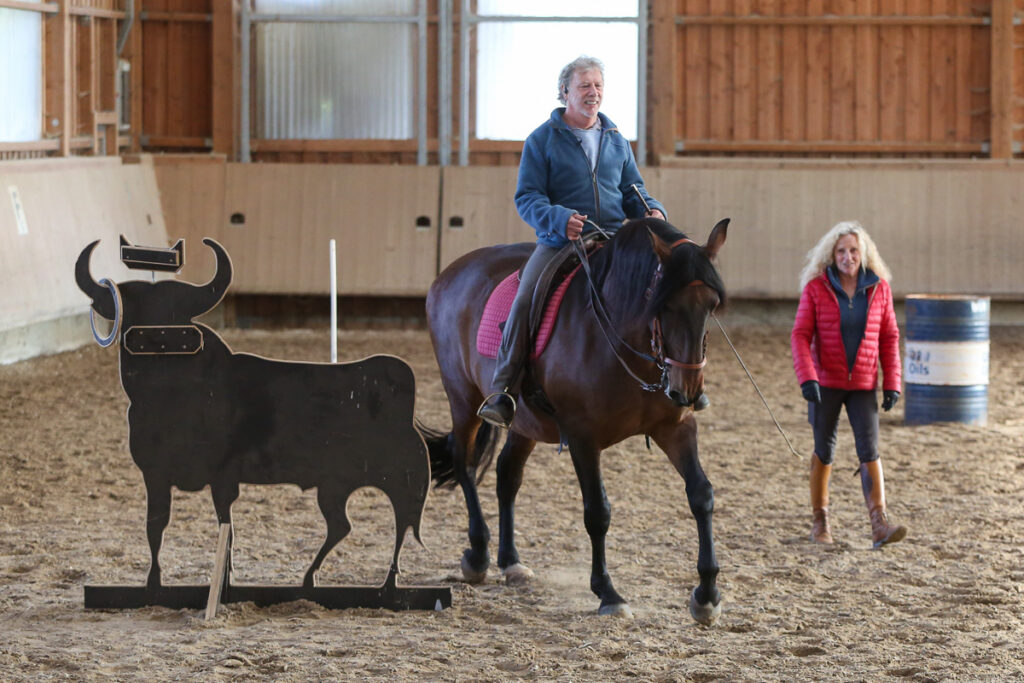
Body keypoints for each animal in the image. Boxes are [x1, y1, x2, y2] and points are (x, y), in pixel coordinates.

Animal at [419, 219, 724, 626]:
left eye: (711, 305)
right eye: (666, 304)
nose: (687, 391)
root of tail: (447, 274)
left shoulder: (674, 428)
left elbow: (701, 495)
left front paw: (706, 595)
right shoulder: (582, 436)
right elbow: (597, 512)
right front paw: (608, 593)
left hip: (525, 423)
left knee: (507, 474)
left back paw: (511, 562)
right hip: (462, 397)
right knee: (464, 462)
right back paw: (478, 555)